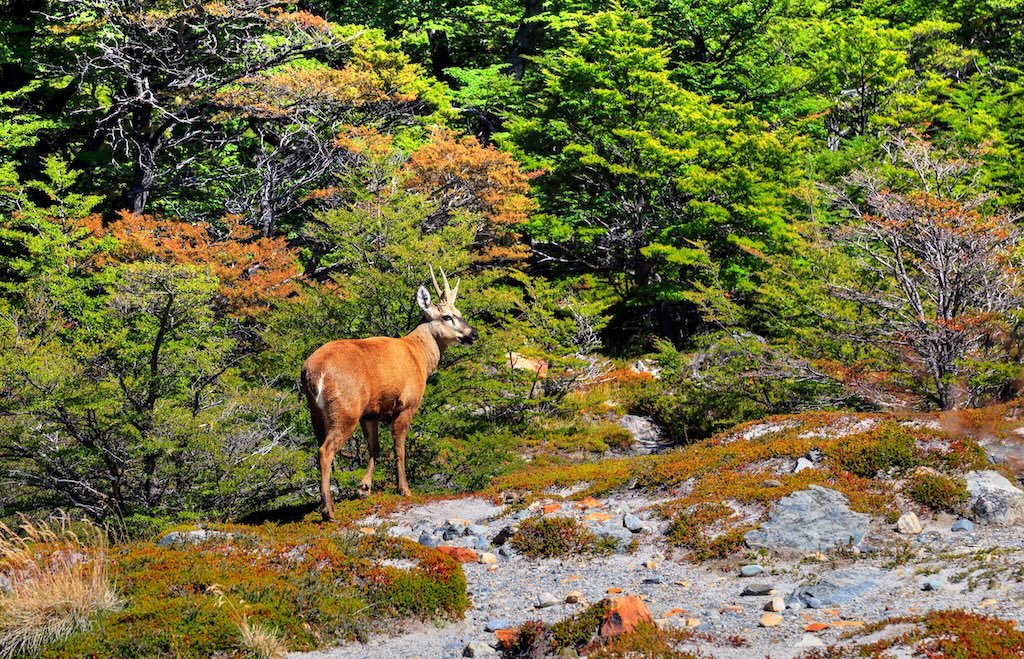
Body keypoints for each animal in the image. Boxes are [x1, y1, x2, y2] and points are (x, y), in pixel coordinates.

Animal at [300, 267, 478, 521]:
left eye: (460, 313)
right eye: (447, 316)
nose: (473, 334)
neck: (419, 356)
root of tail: (312, 371)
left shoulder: (371, 413)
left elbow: (375, 447)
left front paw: (364, 488)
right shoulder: (406, 404)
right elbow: (399, 447)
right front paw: (404, 489)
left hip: (316, 412)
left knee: (320, 449)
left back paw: (325, 503)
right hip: (346, 409)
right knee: (326, 450)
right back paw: (329, 511)